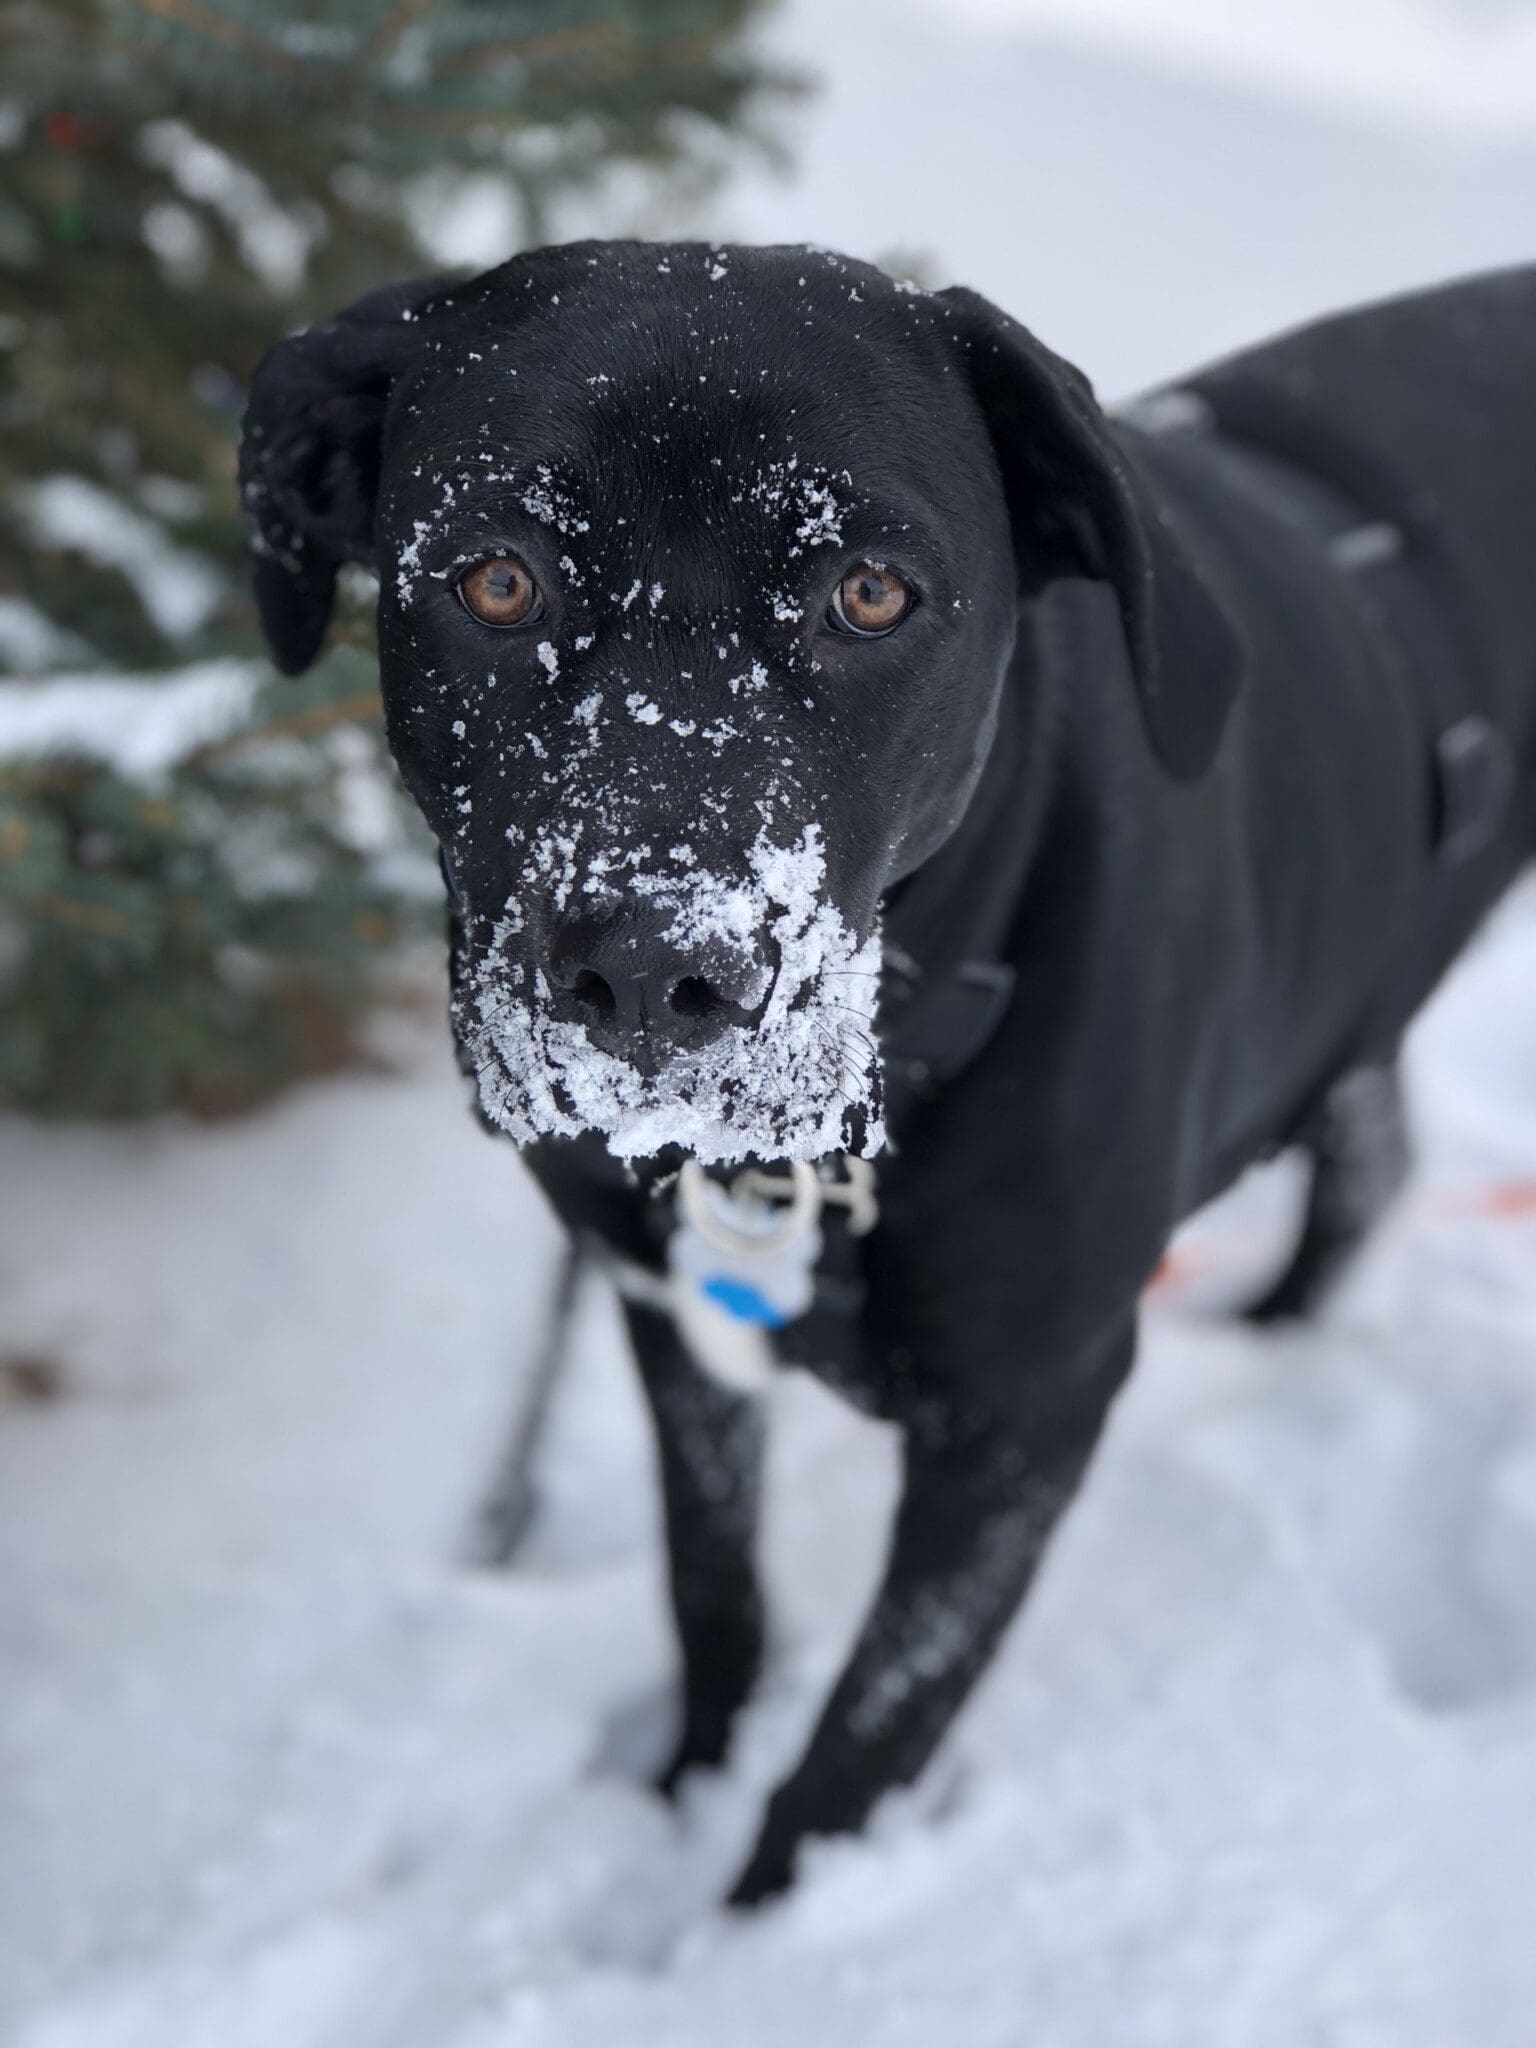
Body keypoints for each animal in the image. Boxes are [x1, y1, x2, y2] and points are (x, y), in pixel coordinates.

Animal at [243, 243, 1536, 1900]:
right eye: (495, 577)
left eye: (869, 593)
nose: (655, 972)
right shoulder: (671, 1326)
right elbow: (713, 1594)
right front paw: (681, 1791)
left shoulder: (1025, 1419)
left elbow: (870, 1728)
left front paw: (755, 1921)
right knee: (1366, 1146)